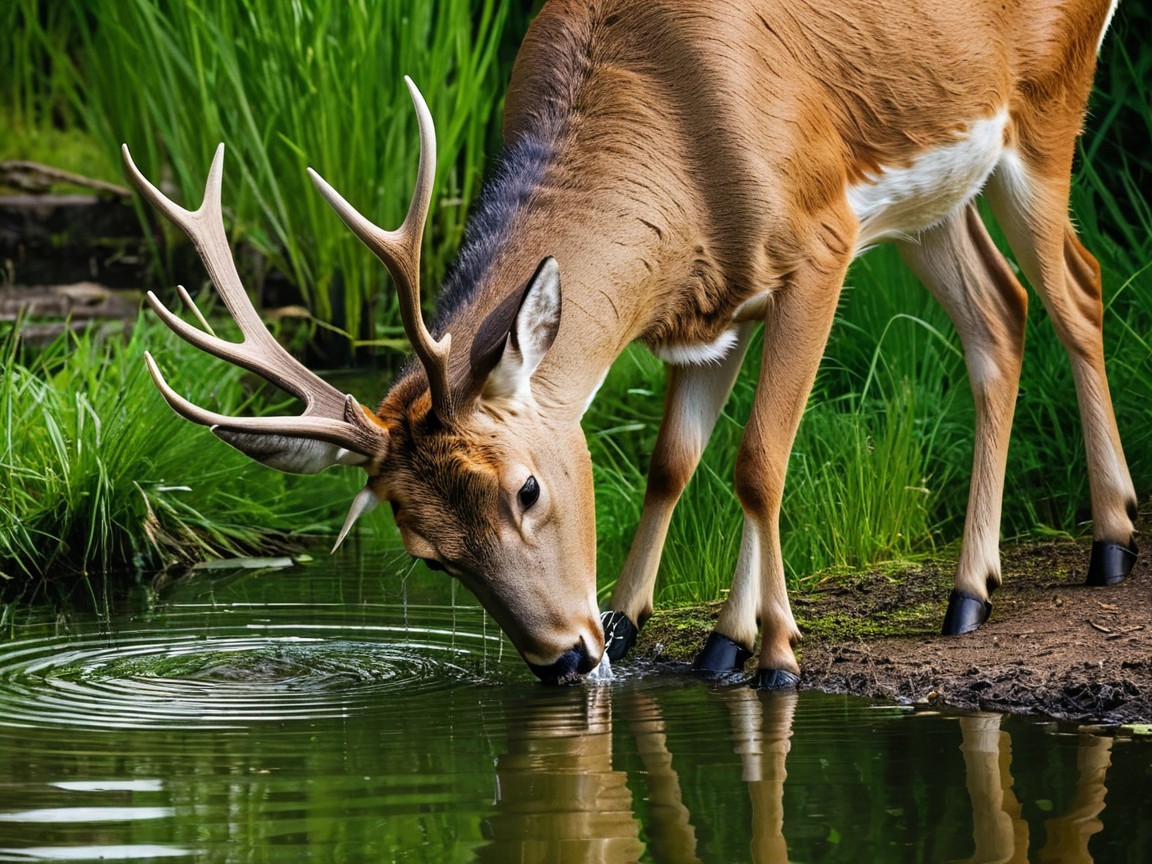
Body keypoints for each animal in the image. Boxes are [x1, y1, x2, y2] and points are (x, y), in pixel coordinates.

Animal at [123, 0, 1137, 688]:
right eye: (426, 552)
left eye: (527, 489)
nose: (567, 662)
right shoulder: (711, 311)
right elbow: (673, 461)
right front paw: (675, 632)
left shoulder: (820, 240)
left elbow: (759, 461)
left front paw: (775, 654)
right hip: (932, 194)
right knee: (1000, 314)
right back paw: (970, 593)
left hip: (1049, 104)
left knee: (1077, 288)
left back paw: (1111, 542)